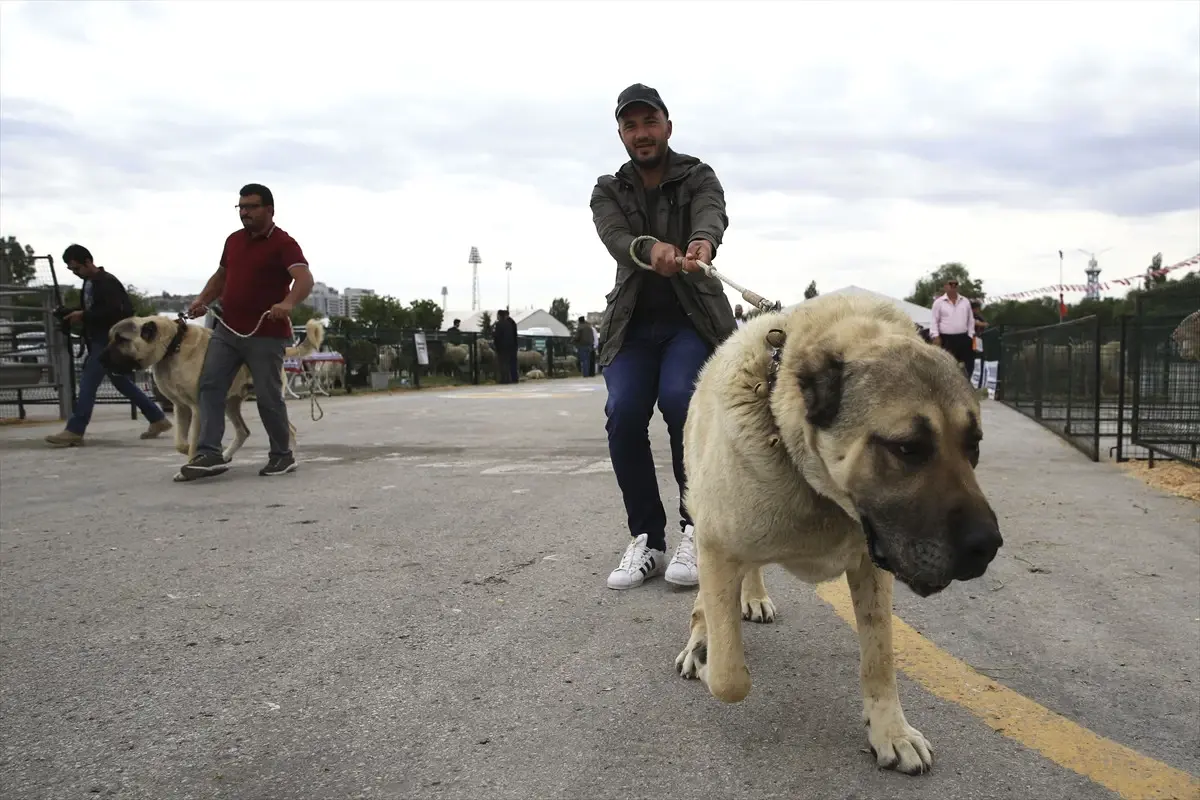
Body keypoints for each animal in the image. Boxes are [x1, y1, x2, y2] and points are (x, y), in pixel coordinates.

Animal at [99, 314, 324, 462]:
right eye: (110, 337)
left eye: (121, 339)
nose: (100, 358)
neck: (173, 345)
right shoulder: (181, 407)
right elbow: (180, 442)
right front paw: (191, 453)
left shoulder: (198, 407)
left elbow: (193, 440)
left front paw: (192, 460)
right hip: (229, 403)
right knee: (243, 431)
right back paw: (225, 456)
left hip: (265, 394)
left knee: (289, 428)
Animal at [676, 292, 1003, 777]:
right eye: (908, 448)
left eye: (974, 445)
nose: (987, 547)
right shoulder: (717, 543)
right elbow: (729, 678)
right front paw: (708, 648)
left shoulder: (872, 567)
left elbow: (879, 656)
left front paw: (890, 731)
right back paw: (701, 637)